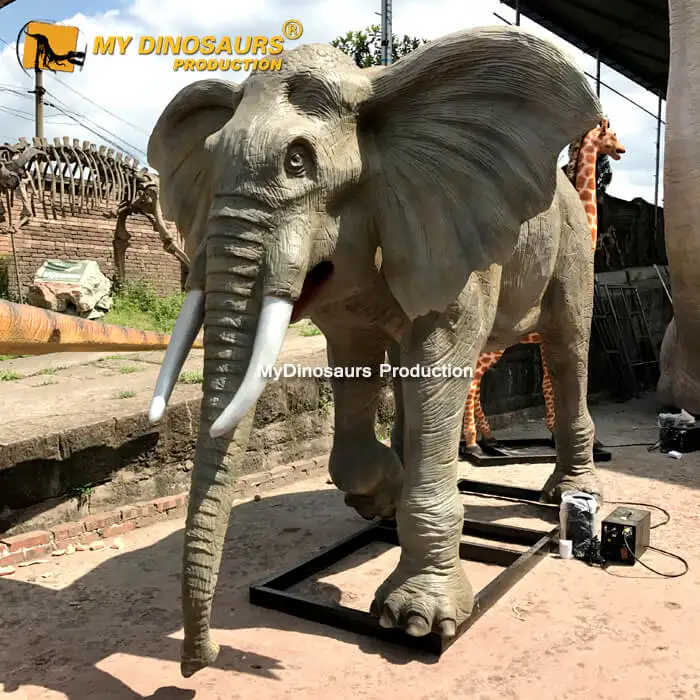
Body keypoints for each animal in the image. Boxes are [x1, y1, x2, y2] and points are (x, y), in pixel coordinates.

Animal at [144, 26, 604, 677]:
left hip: (568, 246)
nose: (198, 659)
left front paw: (417, 622)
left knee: (567, 347)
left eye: (297, 161)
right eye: (208, 163)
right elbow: (357, 357)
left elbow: (441, 352)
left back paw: (567, 497)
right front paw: (383, 497)